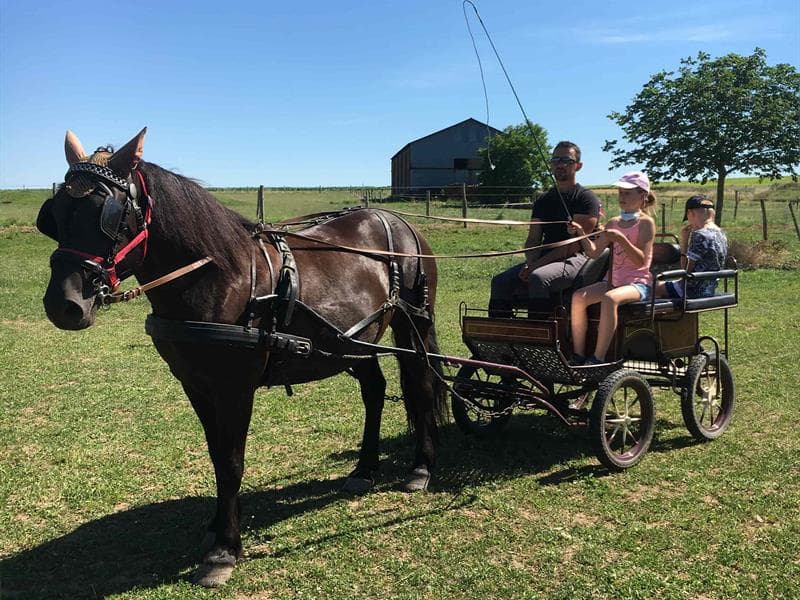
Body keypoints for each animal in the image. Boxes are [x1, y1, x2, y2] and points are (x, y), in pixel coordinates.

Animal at [37, 128, 447, 587]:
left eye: (109, 214)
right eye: (55, 214)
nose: (64, 305)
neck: (217, 276)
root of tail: (398, 222)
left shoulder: (234, 388)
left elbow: (232, 461)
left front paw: (224, 550)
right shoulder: (196, 385)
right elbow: (217, 455)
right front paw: (217, 525)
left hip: (414, 326)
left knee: (422, 385)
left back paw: (420, 468)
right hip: (356, 341)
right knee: (375, 391)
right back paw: (364, 468)